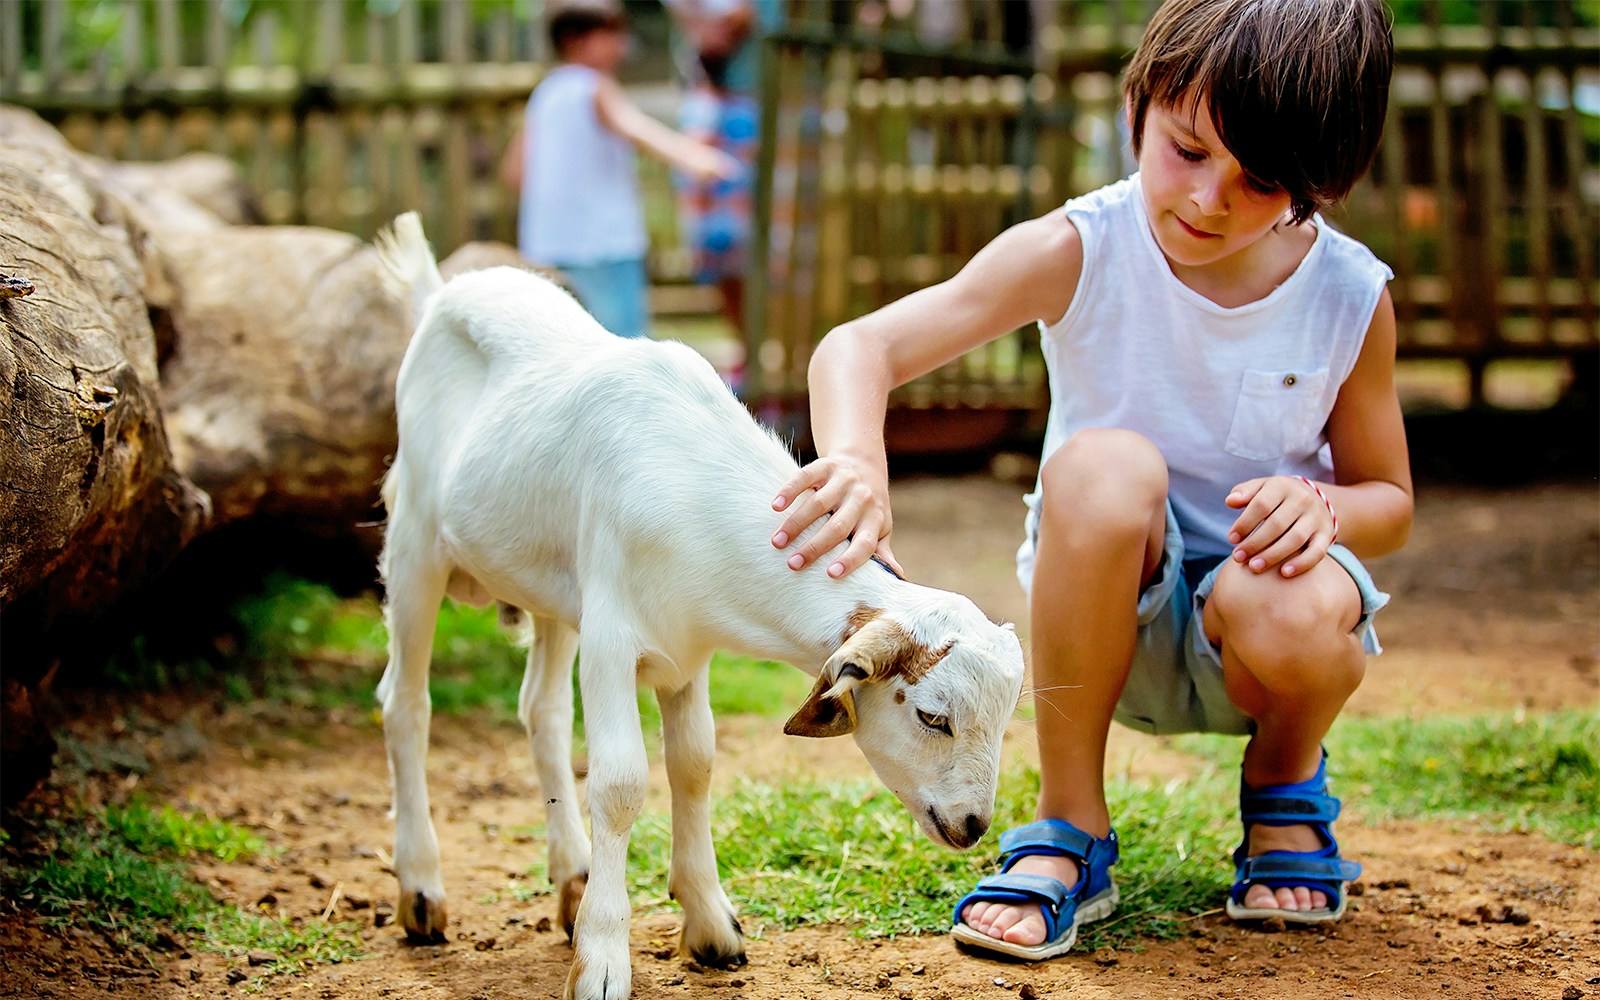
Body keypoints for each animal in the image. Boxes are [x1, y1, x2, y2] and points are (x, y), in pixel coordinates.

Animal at [374, 212, 1024, 998]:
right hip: (415, 542)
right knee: (405, 703)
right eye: (932, 717)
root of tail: (445, 290)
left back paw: (573, 877)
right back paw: (421, 890)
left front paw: (710, 923)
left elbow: (694, 763)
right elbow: (621, 781)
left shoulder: (688, 650)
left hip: (551, 591)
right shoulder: (612, 638)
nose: (972, 824)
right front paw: (602, 959)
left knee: (542, 712)